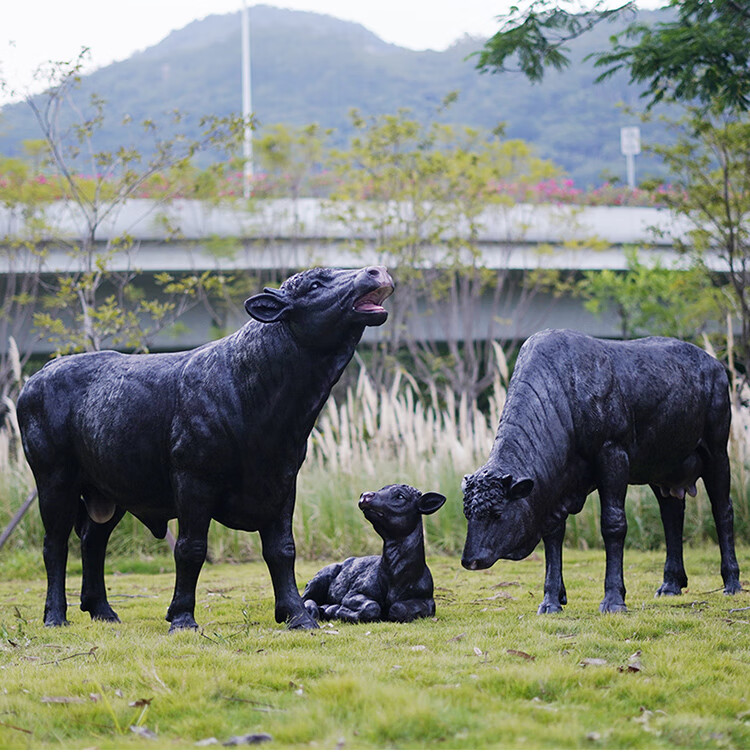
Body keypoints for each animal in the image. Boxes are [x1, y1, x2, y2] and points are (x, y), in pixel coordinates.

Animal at [304, 488, 446, 624]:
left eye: (400, 496)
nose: (365, 495)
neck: (395, 580)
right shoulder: (353, 592)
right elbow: (371, 606)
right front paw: (336, 610)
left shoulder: (428, 600)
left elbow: (399, 608)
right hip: (318, 578)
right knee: (305, 598)